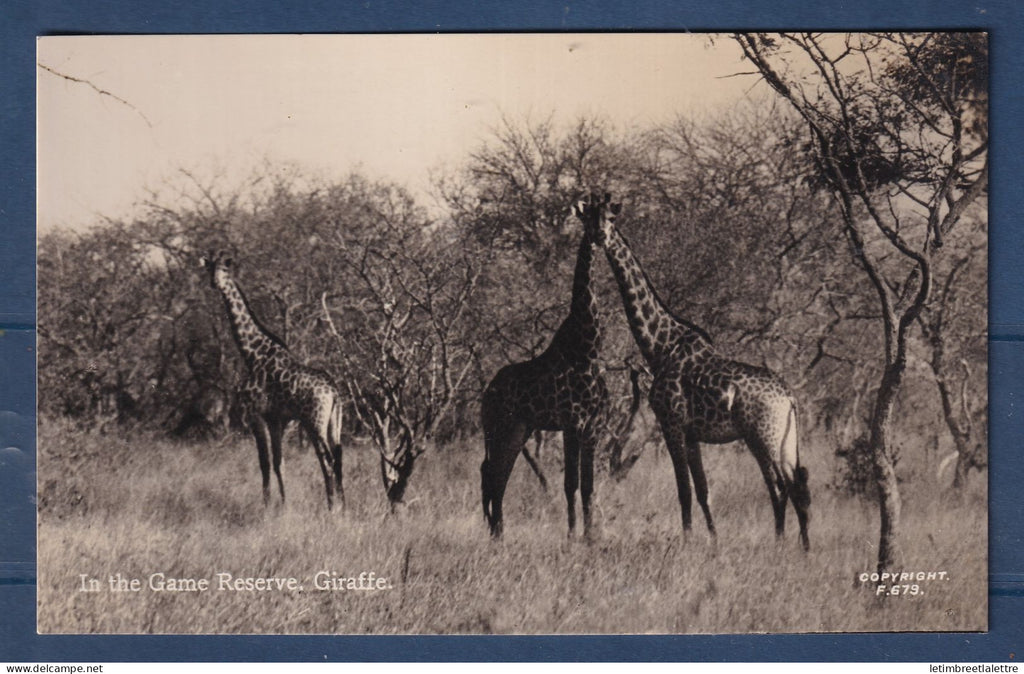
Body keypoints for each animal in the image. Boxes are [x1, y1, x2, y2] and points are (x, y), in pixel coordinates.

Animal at [201, 252, 346, 510]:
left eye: (224, 270)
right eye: (209, 269)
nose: (214, 283)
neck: (252, 354)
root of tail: (334, 392)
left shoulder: (255, 416)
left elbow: (264, 463)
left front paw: (267, 506)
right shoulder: (276, 419)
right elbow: (280, 463)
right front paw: (284, 505)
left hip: (314, 422)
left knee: (327, 460)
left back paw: (332, 508)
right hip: (333, 423)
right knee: (337, 458)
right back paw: (343, 506)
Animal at [480, 199, 609, 537]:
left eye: (608, 216)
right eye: (588, 217)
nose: (601, 236)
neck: (587, 346)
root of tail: (487, 391)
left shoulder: (594, 426)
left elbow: (588, 486)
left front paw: (590, 537)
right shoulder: (572, 422)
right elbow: (570, 484)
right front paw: (571, 536)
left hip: (519, 429)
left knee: (496, 473)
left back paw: (497, 532)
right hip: (498, 427)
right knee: (492, 473)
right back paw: (497, 533)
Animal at [578, 193, 810, 550]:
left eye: (611, 218)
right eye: (590, 217)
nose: (601, 236)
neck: (660, 346)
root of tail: (789, 398)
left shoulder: (671, 424)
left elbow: (684, 491)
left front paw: (687, 542)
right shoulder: (690, 433)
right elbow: (702, 490)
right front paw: (713, 541)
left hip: (762, 437)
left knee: (781, 486)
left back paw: (785, 544)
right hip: (784, 440)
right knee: (792, 485)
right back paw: (797, 546)